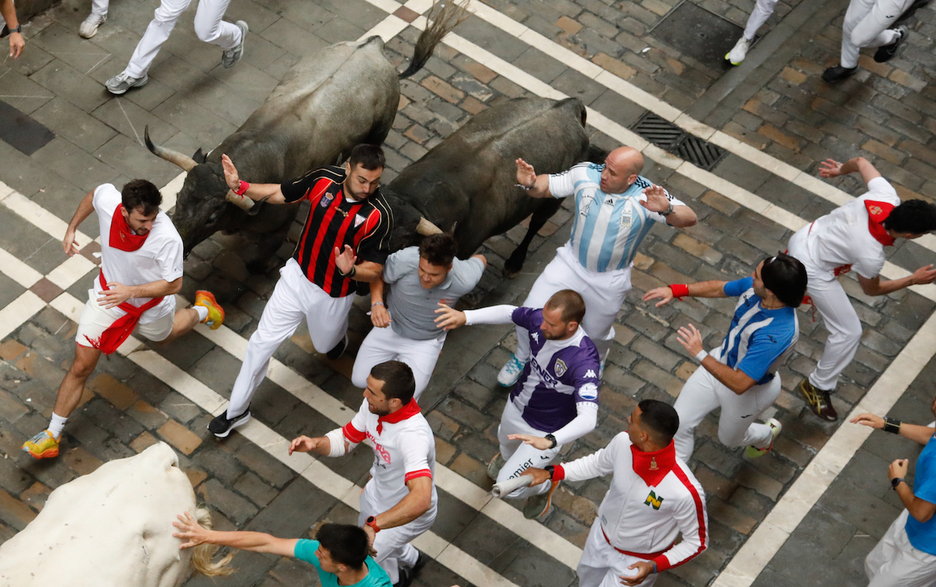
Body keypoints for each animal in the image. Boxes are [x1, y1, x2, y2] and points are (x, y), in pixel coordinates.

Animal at [148, 1, 466, 274]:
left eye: (211, 217)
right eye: (178, 196)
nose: (174, 245)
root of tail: (373, 46)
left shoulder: (275, 233)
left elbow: (254, 263)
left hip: (380, 132)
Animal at [382, 97, 596, 278]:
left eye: (401, 242)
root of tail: (570, 105)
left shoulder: (463, 250)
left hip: (551, 202)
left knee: (536, 224)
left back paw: (514, 264)